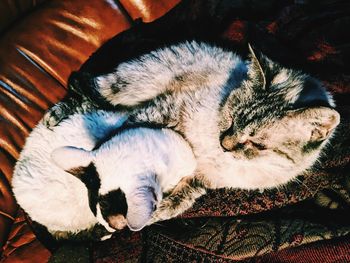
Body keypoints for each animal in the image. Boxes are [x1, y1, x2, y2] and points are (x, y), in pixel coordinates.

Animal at [43, 41, 340, 225]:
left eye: (257, 144)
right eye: (231, 118)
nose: (225, 143)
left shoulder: (207, 178)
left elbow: (185, 195)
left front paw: (161, 208)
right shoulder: (166, 108)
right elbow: (130, 130)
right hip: (132, 85)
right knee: (86, 88)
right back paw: (55, 115)